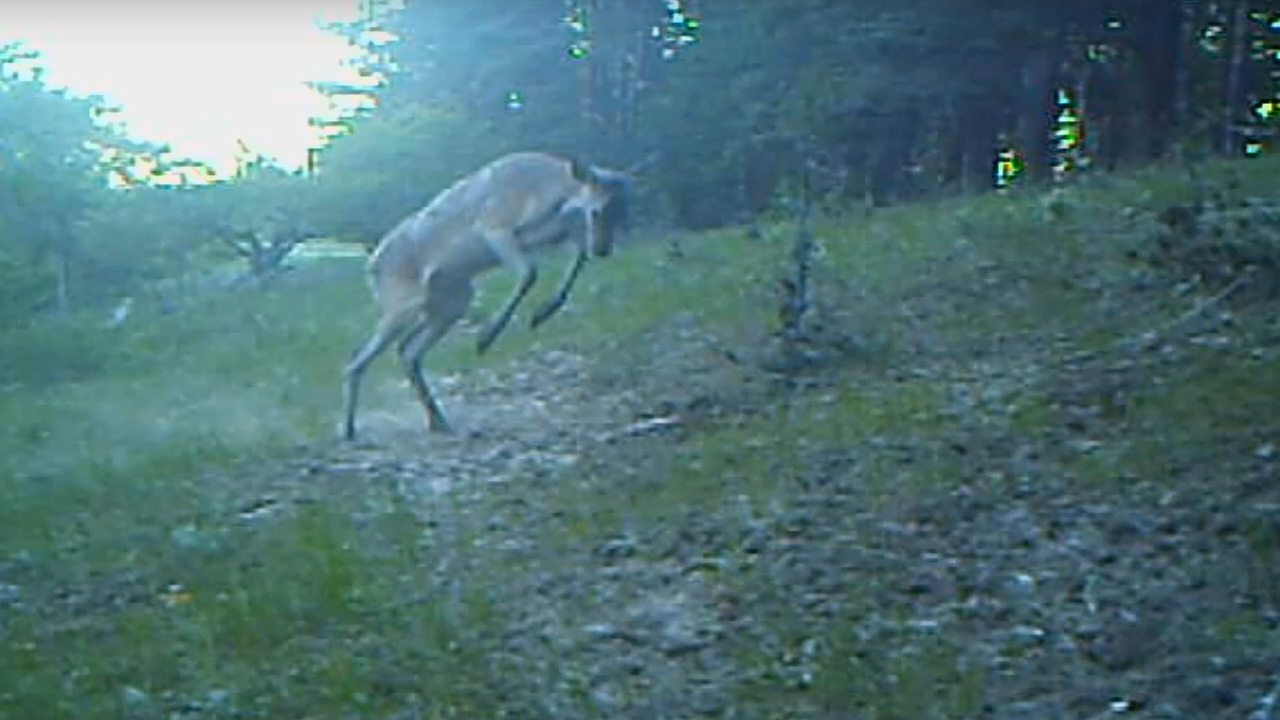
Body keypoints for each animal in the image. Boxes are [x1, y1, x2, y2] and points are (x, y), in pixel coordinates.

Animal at [340, 150, 640, 440]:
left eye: (623, 210)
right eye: (597, 211)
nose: (604, 249)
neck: (548, 191)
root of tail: (371, 266)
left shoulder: (551, 234)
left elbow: (577, 257)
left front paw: (542, 313)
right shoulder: (494, 227)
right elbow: (531, 273)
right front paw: (487, 337)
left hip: (452, 302)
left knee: (408, 351)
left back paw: (438, 422)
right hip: (402, 304)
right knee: (359, 360)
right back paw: (349, 429)